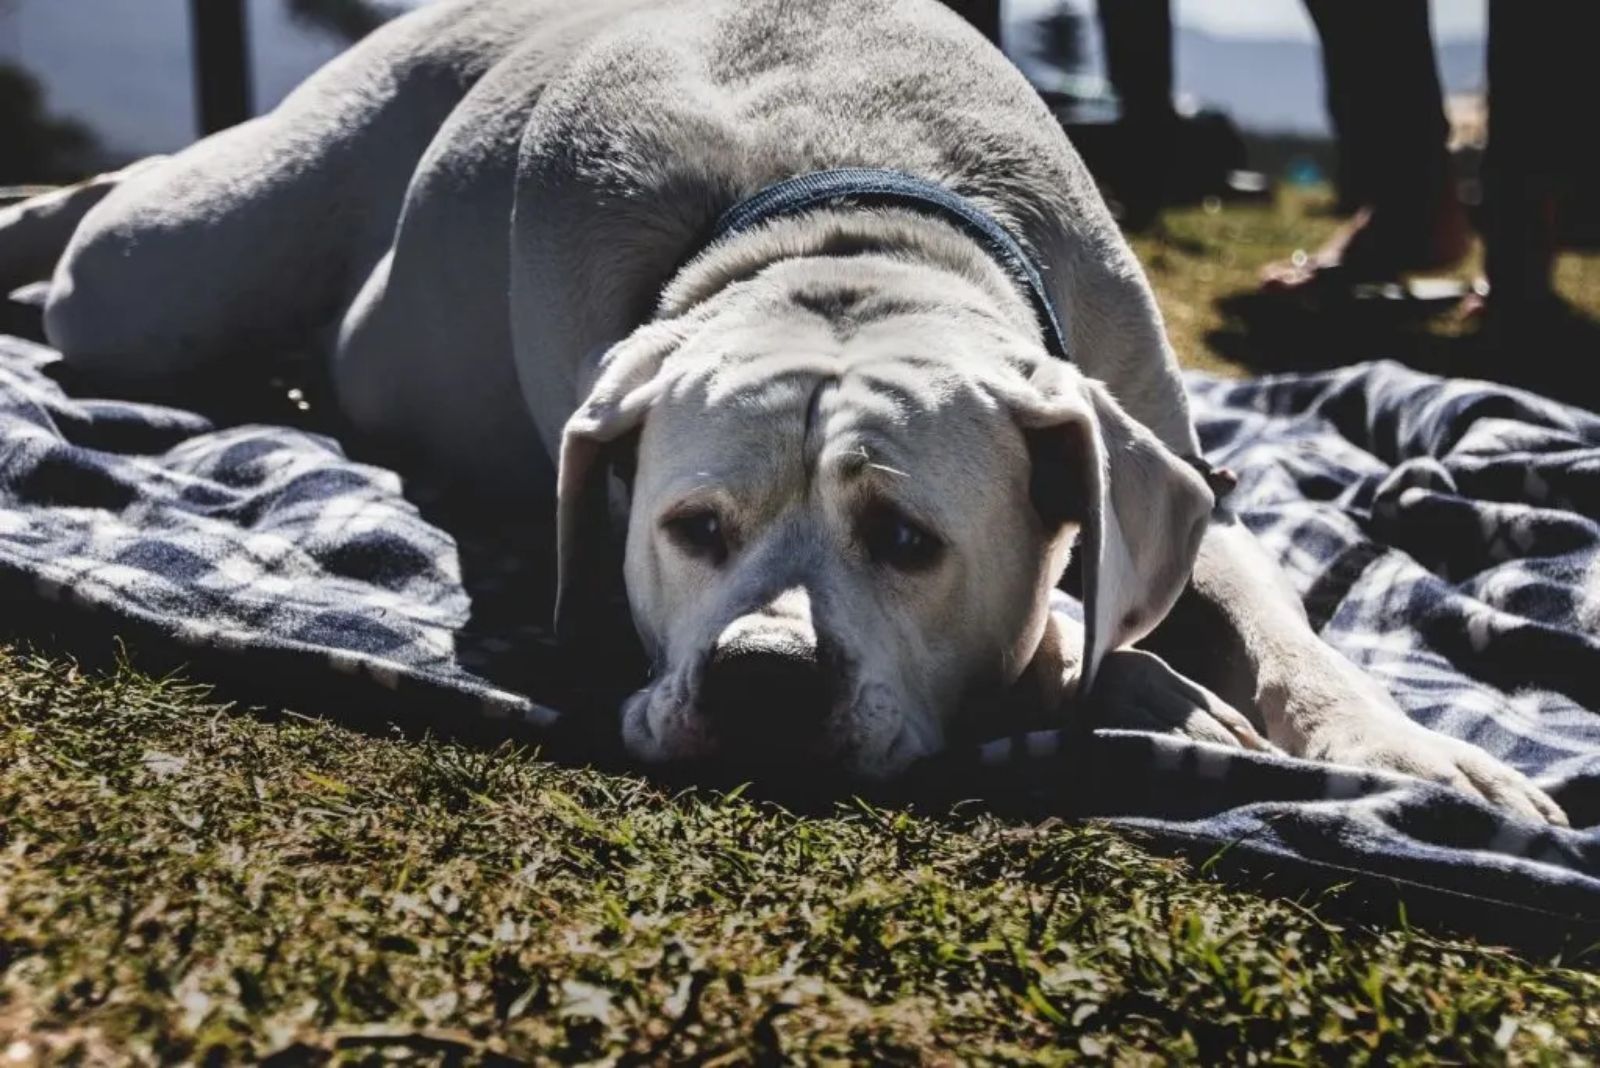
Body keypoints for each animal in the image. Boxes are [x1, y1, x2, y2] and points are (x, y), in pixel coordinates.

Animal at [0, 0, 1561, 824]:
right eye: (689, 528)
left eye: (911, 543)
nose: (757, 677)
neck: (853, 237)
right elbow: (1080, 644)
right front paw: (1140, 689)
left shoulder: (1173, 480)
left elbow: (1287, 640)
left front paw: (1416, 757)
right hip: (172, 274)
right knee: (107, 223)